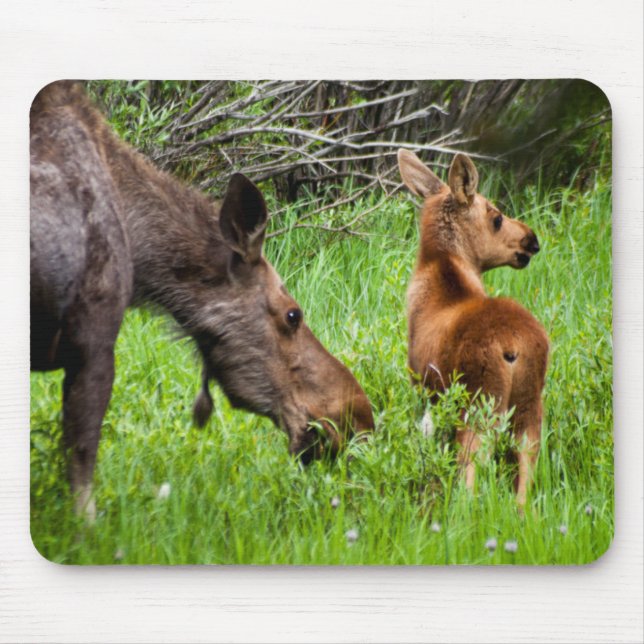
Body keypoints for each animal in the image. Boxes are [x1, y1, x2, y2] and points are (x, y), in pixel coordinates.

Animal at [397, 149, 549, 506]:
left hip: (479, 402)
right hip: (528, 403)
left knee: (472, 466)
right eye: (497, 218)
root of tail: (513, 347)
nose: (532, 240)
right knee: (526, 464)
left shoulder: (422, 386)